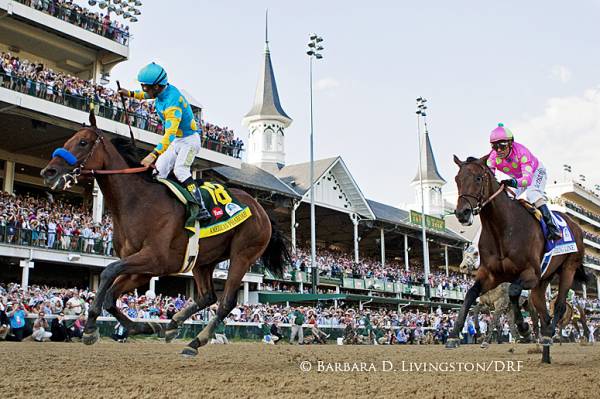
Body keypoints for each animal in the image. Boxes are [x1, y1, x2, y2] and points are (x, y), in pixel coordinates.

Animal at [39, 111, 288, 356]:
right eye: (67, 141)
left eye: (83, 142)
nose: (49, 172)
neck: (138, 202)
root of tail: (261, 209)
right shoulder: (142, 268)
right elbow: (110, 297)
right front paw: (146, 326)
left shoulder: (154, 259)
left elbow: (108, 272)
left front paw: (91, 328)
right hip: (202, 261)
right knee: (207, 296)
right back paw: (173, 324)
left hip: (242, 255)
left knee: (226, 302)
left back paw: (195, 341)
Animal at [450, 155, 584, 364]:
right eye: (457, 179)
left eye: (478, 178)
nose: (462, 213)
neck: (502, 229)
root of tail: (575, 224)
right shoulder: (490, 276)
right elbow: (471, 296)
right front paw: (455, 334)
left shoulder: (529, 275)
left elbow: (512, 293)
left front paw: (522, 329)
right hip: (541, 284)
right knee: (543, 315)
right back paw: (545, 354)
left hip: (567, 269)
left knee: (559, 307)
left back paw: (547, 335)